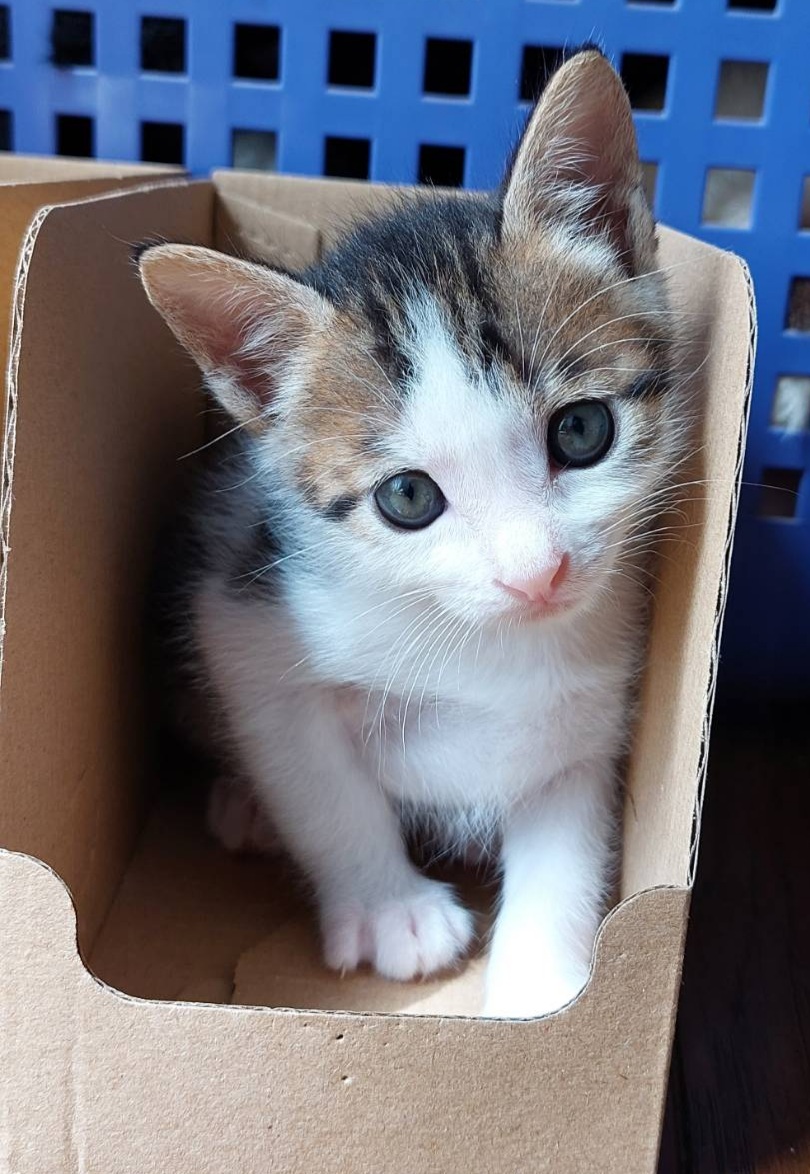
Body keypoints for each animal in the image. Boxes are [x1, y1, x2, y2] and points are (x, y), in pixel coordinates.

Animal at [138, 50, 689, 1018]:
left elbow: (568, 833)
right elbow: (321, 784)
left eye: (582, 432)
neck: (483, 645)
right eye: (407, 498)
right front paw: (390, 911)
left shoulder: (586, 706)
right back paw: (245, 805)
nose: (537, 574)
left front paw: (545, 988)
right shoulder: (242, 620)